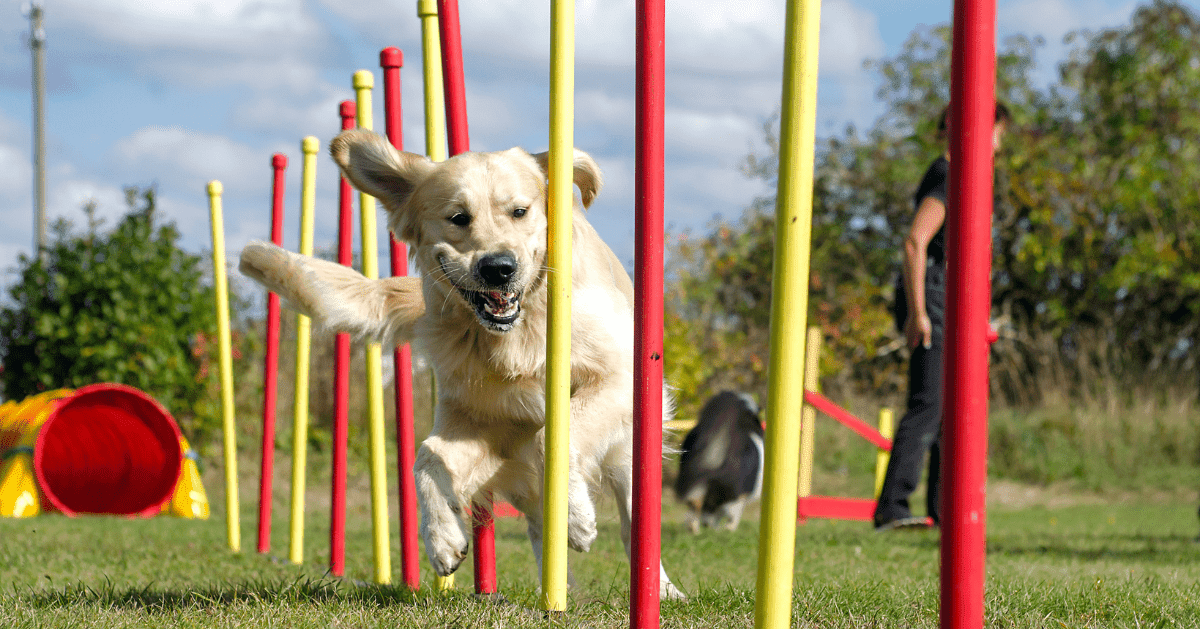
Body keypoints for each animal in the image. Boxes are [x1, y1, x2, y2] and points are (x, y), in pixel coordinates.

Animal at [238, 127, 686, 600]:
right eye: (458, 218)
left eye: (520, 212)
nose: (498, 268)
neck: (516, 335)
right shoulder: (483, 422)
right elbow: (426, 458)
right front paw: (443, 539)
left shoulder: (620, 380)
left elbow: (552, 436)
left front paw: (576, 520)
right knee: (534, 520)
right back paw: (556, 587)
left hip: (629, 451)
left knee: (633, 520)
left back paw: (660, 590)